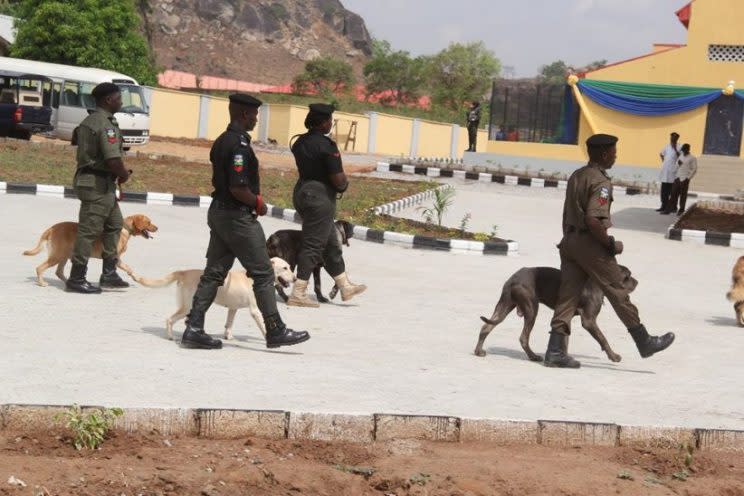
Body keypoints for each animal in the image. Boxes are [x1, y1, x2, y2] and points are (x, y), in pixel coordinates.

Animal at [23, 213, 157, 286]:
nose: (157, 228)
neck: (125, 230)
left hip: (64, 255)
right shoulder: (114, 258)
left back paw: (70, 282)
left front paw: (136, 278)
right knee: (40, 268)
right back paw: (42, 283)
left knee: (59, 272)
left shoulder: (116, 259)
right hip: (57, 255)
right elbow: (125, 268)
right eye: (149, 222)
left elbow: (129, 268)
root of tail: (52, 228)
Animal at [132, 256, 294, 340]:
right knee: (169, 319)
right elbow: (263, 325)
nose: (295, 278)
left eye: (290, 267)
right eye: (285, 268)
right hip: (187, 306)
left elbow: (229, 324)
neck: (255, 278)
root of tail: (183, 272)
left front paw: (229, 336)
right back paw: (171, 336)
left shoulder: (233, 309)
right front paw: (270, 337)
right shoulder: (255, 310)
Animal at [474, 266, 636, 362]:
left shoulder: (567, 318)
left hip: (504, 306)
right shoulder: (589, 321)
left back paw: (478, 351)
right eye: (627, 276)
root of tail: (512, 279)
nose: (637, 282)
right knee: (523, 337)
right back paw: (533, 356)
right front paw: (614, 356)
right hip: (531, 308)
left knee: (485, 327)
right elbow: (603, 338)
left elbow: (564, 339)